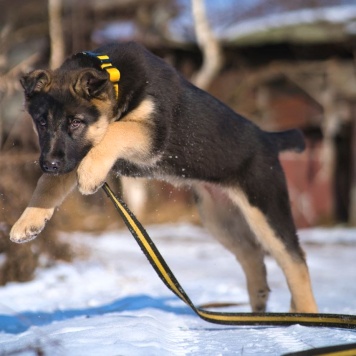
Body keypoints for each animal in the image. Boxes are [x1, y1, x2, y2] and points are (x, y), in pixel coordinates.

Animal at [10, 41, 318, 312]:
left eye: (75, 122)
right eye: (41, 122)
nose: (48, 163)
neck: (116, 79)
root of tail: (268, 139)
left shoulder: (151, 133)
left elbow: (116, 130)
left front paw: (88, 176)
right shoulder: (73, 155)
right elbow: (48, 183)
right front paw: (29, 221)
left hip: (265, 208)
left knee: (294, 261)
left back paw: (305, 315)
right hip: (220, 218)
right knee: (252, 254)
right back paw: (260, 301)